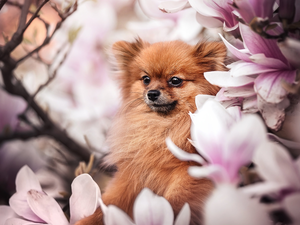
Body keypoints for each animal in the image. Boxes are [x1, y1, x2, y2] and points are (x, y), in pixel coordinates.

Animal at [76, 37, 226, 224]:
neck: (162, 128)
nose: (152, 93)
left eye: (175, 80)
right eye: (146, 79)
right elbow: (109, 204)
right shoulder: (132, 177)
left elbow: (176, 203)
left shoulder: (189, 174)